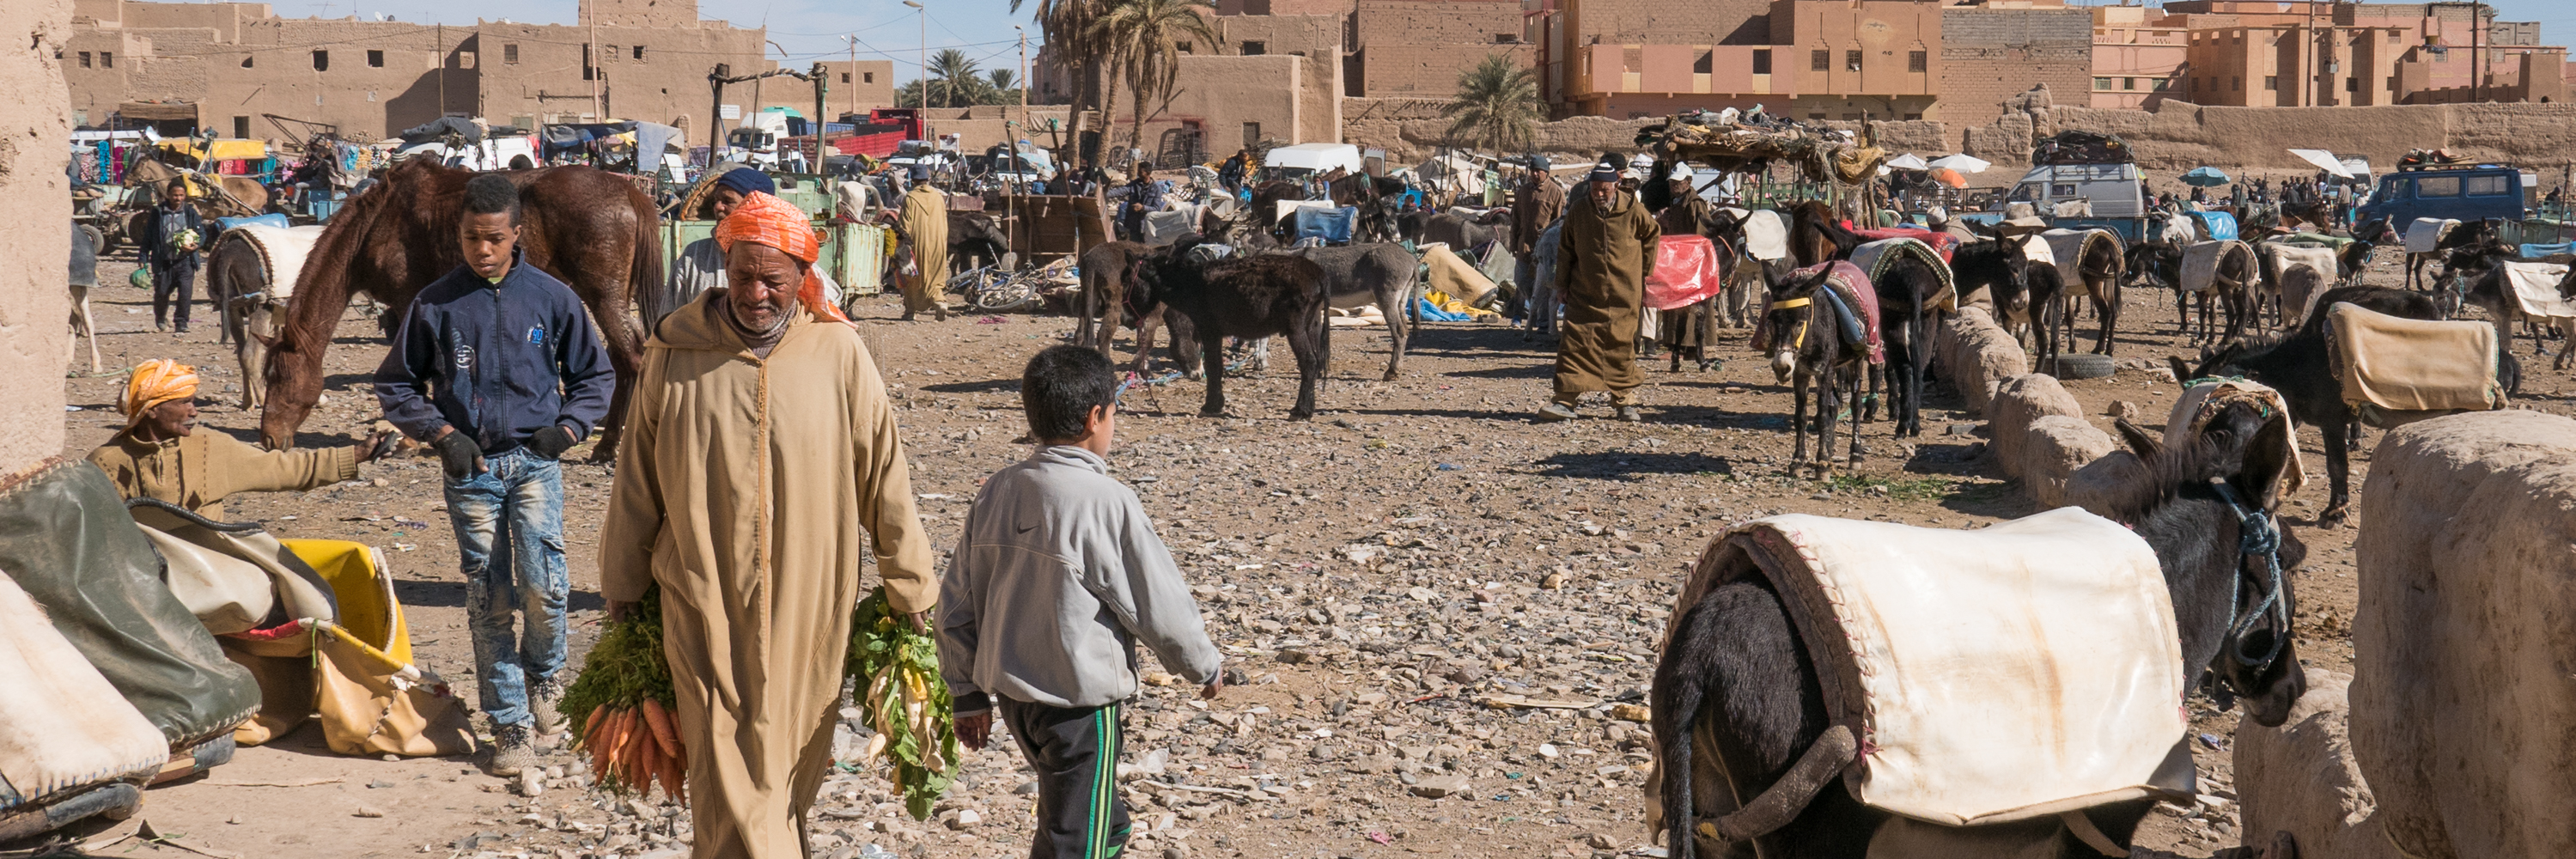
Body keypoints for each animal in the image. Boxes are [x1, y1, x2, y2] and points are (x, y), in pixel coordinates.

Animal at [257, 157, 659, 459]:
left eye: (279, 378)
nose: (269, 439)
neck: (376, 226)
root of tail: (628, 189)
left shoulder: (407, 301)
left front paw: (410, 439)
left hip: (602, 294)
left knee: (631, 357)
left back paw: (608, 447)